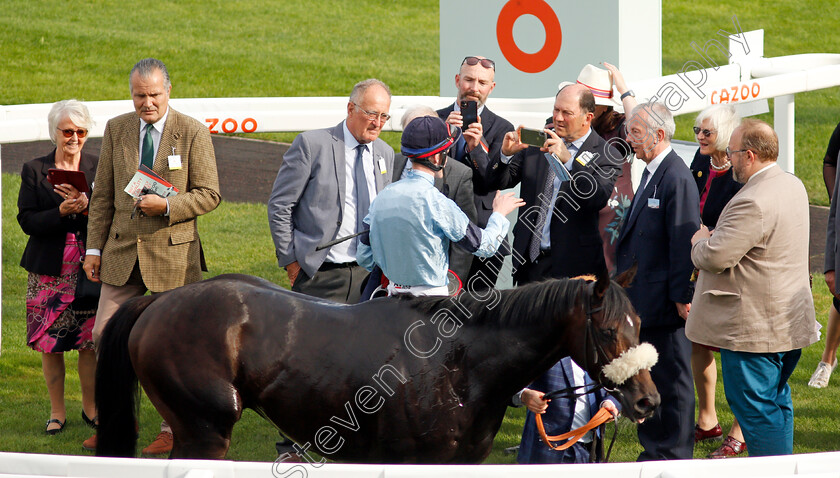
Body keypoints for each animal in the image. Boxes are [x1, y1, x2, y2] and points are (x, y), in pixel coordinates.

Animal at [92, 268, 656, 462]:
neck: (460, 366)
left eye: (640, 325)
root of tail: (158, 302)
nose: (648, 400)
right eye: (609, 330)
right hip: (205, 429)